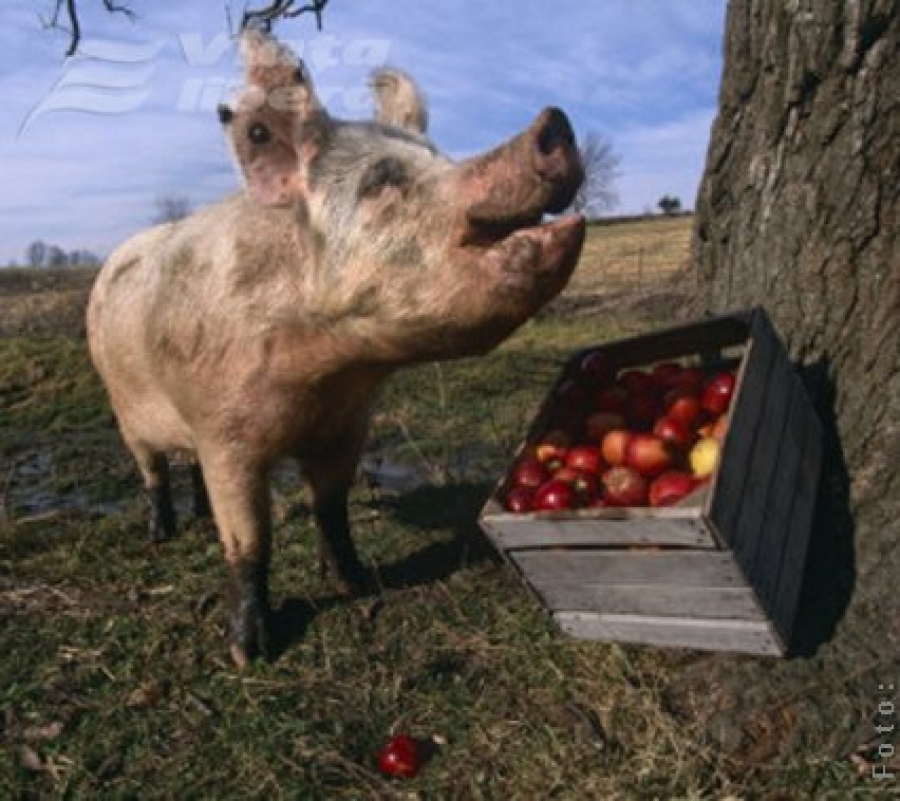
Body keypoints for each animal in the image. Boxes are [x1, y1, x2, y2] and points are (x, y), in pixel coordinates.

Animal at [88, 31, 588, 664]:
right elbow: (248, 541)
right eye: (380, 181)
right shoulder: (226, 435)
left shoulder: (346, 425)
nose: (553, 120)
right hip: (123, 405)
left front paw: (357, 583)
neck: (324, 377)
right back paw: (163, 534)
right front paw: (250, 653)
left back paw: (198, 518)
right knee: (151, 470)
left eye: (443, 158)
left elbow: (331, 509)